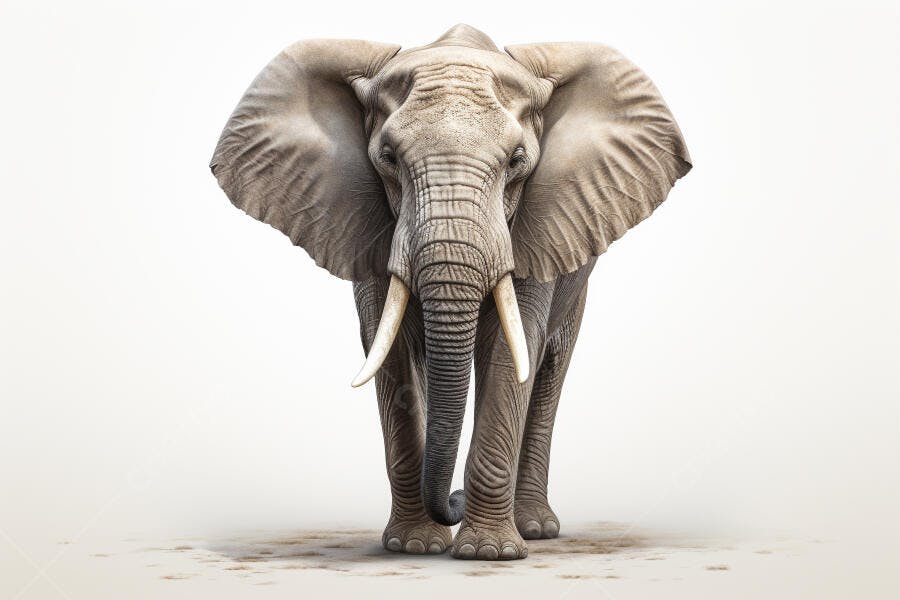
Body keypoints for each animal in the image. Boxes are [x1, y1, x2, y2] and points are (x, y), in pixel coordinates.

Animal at [210, 24, 691, 561]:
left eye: (517, 162)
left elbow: (512, 350)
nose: (453, 501)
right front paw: (413, 546)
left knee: (547, 364)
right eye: (388, 160)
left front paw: (489, 554)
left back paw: (535, 529)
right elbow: (389, 350)